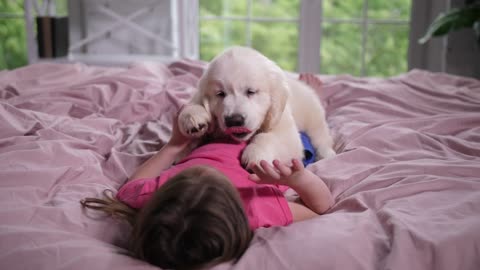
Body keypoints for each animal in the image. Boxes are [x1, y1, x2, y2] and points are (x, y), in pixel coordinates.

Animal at [176, 46, 334, 169]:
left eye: (251, 91)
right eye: (220, 94)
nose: (234, 120)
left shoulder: (284, 126)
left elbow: (267, 137)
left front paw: (256, 154)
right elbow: (195, 103)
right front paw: (192, 118)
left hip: (313, 117)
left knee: (321, 137)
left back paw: (327, 154)